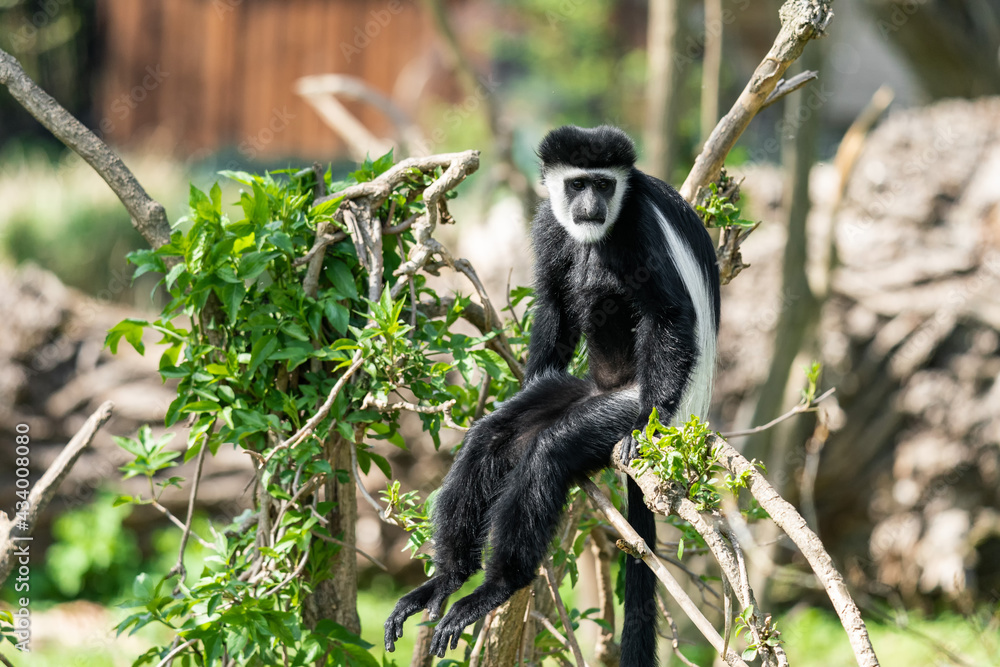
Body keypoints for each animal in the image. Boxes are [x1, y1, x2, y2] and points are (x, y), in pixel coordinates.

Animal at [384, 125, 720, 666]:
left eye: (603, 184)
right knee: (492, 437)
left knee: (551, 451)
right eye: (577, 184)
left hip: (620, 408)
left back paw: (496, 587)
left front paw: (642, 425)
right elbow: (555, 302)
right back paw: (446, 581)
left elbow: (669, 313)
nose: (589, 206)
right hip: (573, 391)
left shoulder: (639, 227)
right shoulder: (547, 222)